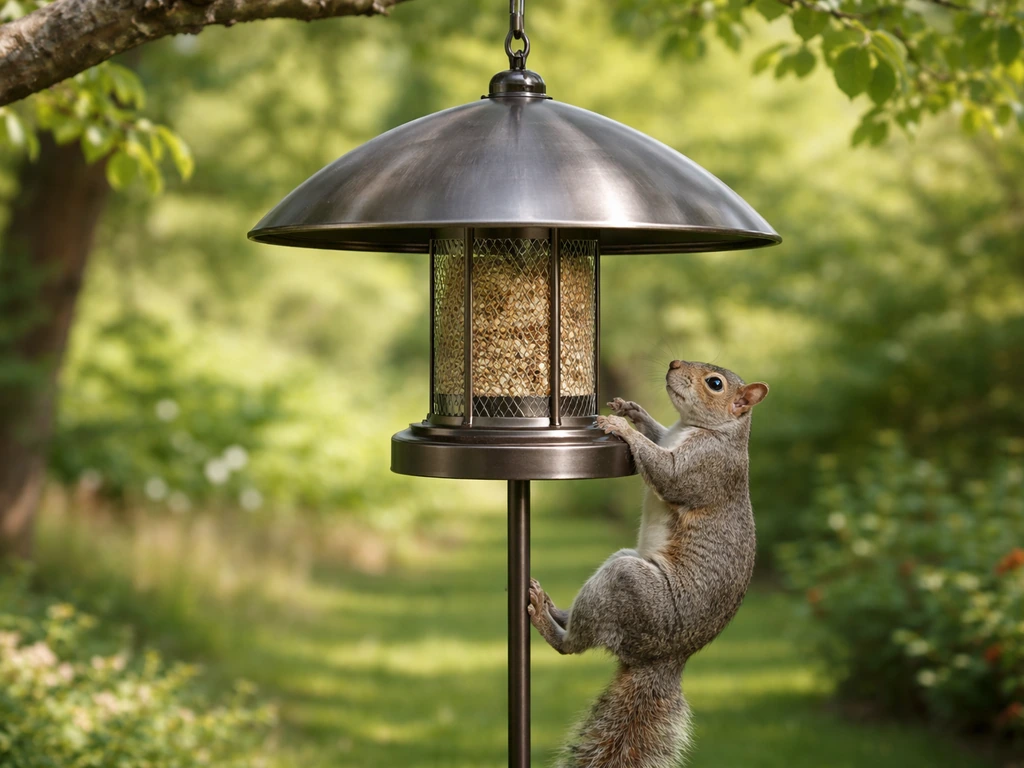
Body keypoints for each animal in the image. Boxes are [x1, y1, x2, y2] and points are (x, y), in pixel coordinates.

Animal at [528, 359, 769, 768]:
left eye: (715, 384)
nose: (674, 363)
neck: (698, 429)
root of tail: (667, 660)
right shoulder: (668, 436)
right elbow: (655, 434)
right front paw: (632, 410)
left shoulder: (704, 467)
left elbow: (667, 474)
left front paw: (620, 426)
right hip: (622, 562)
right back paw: (557, 610)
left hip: (630, 587)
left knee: (573, 646)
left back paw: (547, 621)